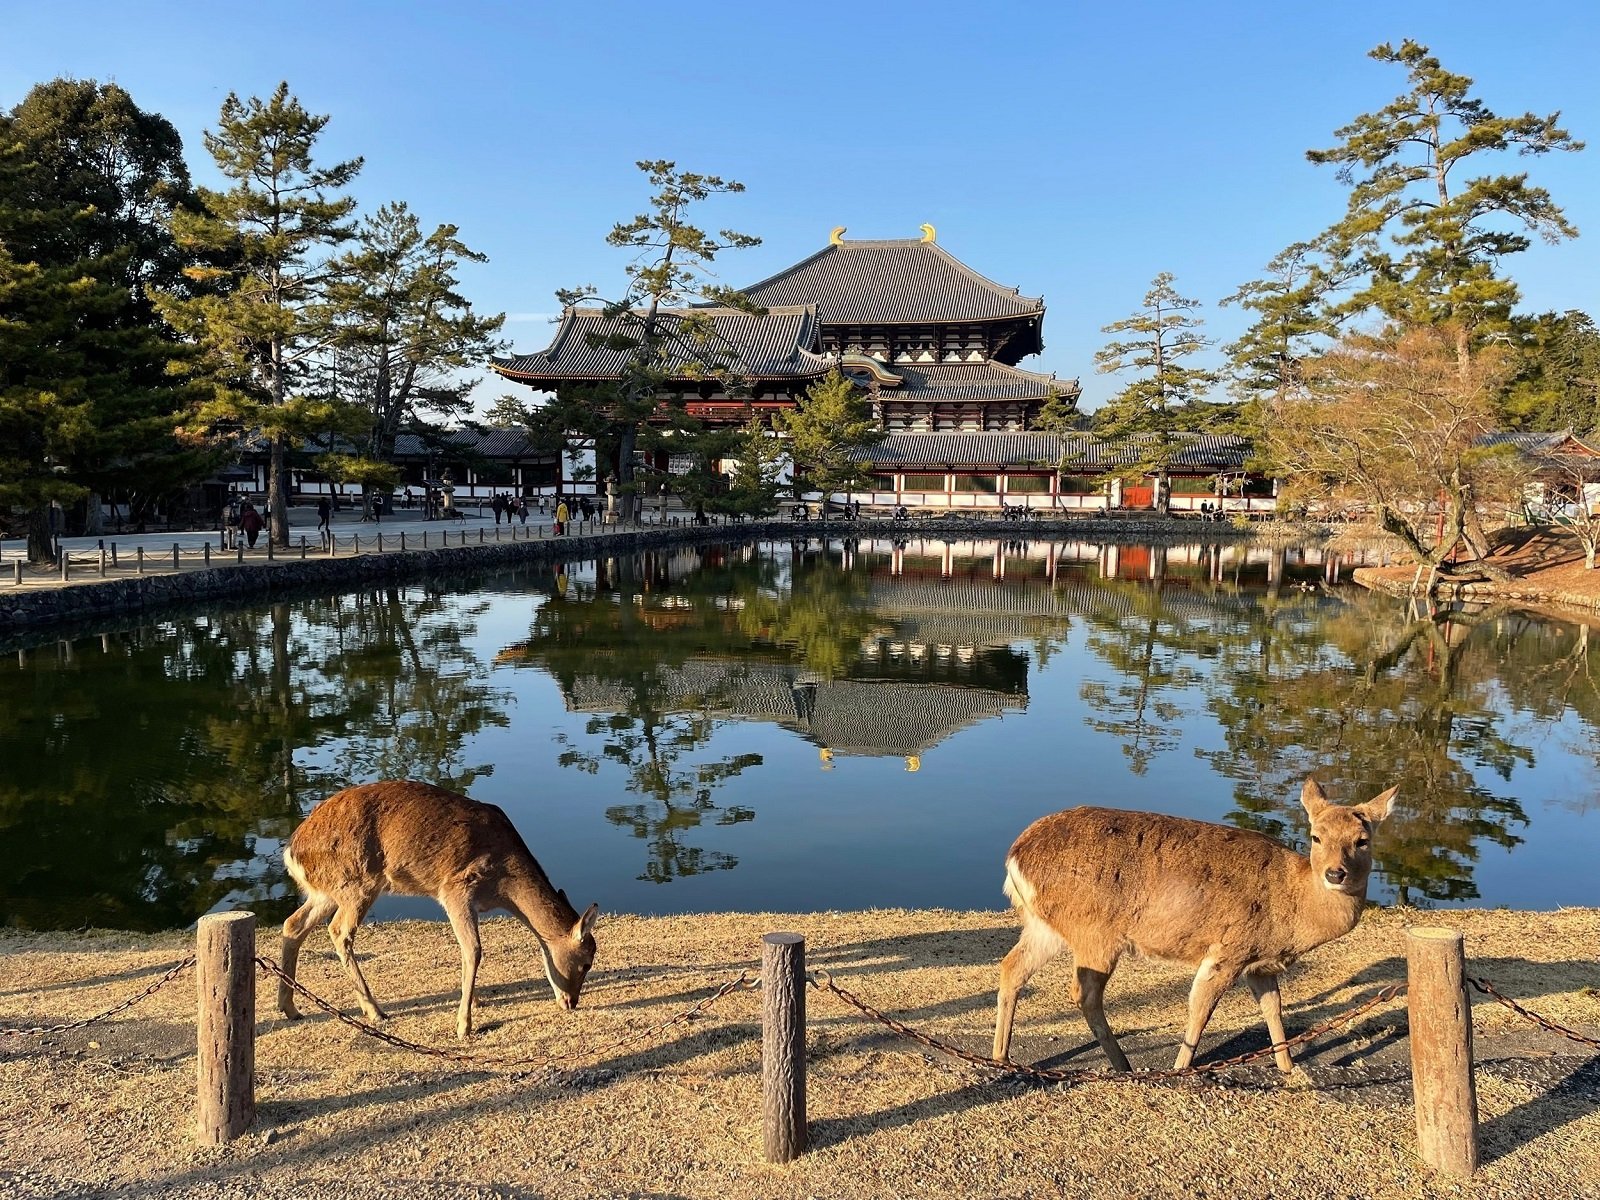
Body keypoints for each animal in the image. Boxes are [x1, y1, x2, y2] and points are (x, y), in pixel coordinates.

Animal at [278, 780, 600, 1040]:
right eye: (586, 963)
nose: (572, 1002)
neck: (503, 885)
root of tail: (292, 851)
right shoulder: (456, 888)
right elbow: (473, 949)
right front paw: (464, 1026)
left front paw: (475, 1003)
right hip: (358, 883)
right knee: (339, 930)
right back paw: (374, 1011)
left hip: (326, 891)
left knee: (293, 923)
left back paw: (290, 1007)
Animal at [992, 777, 1398, 1073]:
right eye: (1316, 836)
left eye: (1362, 840)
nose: (1335, 873)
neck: (1293, 909)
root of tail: (1015, 857)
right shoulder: (1229, 950)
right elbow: (1200, 1008)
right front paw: (1180, 1068)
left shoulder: (1260, 964)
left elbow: (1274, 1009)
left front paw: (1289, 1068)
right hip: (1095, 931)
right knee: (1083, 993)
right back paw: (1124, 1065)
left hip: (1046, 926)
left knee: (1012, 967)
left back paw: (1003, 1057)